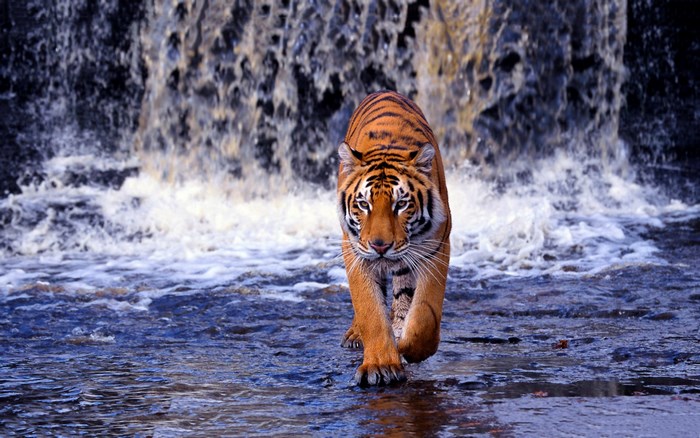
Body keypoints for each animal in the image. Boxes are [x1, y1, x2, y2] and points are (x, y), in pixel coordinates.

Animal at [337, 90, 452, 386]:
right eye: (363, 204)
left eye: (401, 204)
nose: (380, 246)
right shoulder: (355, 251)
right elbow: (369, 309)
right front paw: (380, 365)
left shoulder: (435, 248)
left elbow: (425, 313)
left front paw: (409, 348)